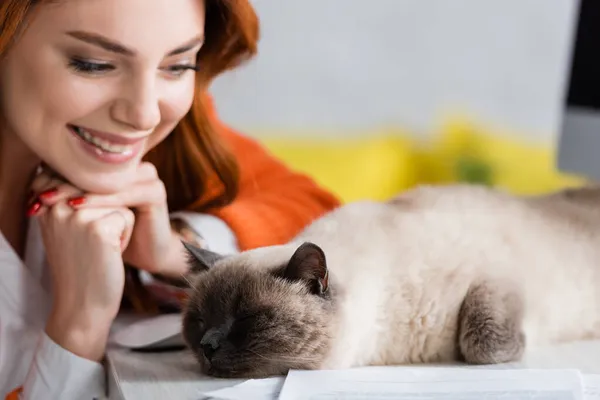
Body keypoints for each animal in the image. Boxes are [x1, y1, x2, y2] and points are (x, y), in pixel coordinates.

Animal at [180, 184, 600, 378]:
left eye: (246, 319)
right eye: (198, 321)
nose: (207, 345)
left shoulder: (494, 276)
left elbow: (482, 344)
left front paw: (523, 344)